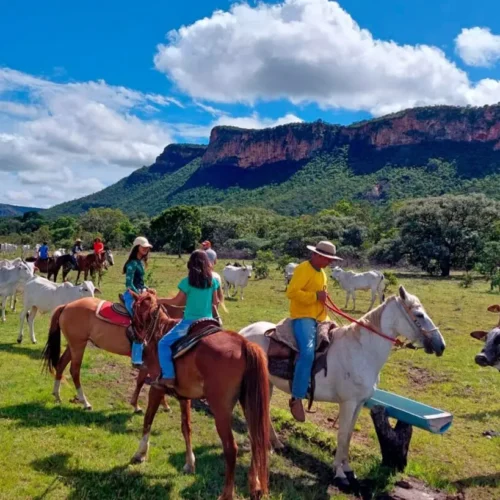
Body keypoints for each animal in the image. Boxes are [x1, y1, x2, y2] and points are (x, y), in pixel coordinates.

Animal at [40, 298, 182, 412]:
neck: (162, 327)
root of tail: (66, 306)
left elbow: (144, 381)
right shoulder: (151, 363)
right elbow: (146, 382)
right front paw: (141, 406)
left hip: (73, 345)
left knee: (61, 364)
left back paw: (57, 396)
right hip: (78, 345)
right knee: (74, 371)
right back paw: (85, 403)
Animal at [129, 292, 270, 498]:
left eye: (134, 309)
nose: (130, 333)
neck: (159, 333)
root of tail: (244, 344)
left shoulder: (156, 389)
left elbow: (148, 420)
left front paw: (140, 454)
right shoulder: (184, 397)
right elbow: (186, 428)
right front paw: (189, 464)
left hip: (221, 410)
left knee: (231, 448)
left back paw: (227, 494)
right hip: (249, 404)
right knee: (255, 441)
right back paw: (256, 486)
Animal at [238, 288, 446, 486]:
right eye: (419, 314)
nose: (441, 345)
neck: (361, 351)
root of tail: (243, 332)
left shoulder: (359, 403)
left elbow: (349, 435)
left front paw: (347, 468)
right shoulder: (348, 403)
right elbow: (343, 434)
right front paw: (339, 473)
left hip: (268, 383)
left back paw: (274, 443)